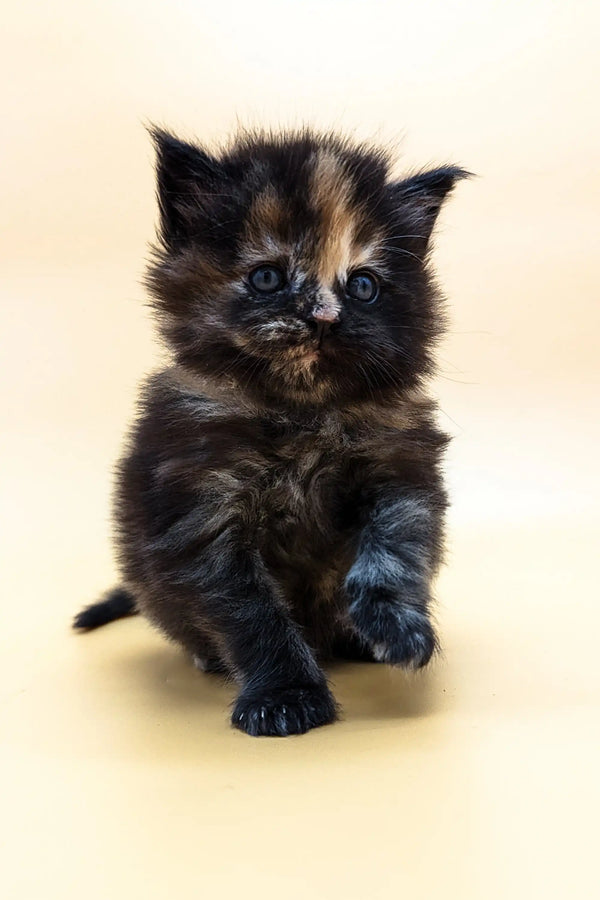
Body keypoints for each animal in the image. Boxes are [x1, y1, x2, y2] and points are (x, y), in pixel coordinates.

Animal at [74, 126, 468, 736]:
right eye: (267, 278)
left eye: (363, 286)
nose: (323, 316)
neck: (302, 416)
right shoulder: (202, 515)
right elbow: (254, 614)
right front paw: (286, 695)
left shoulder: (401, 472)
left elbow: (395, 552)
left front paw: (397, 628)